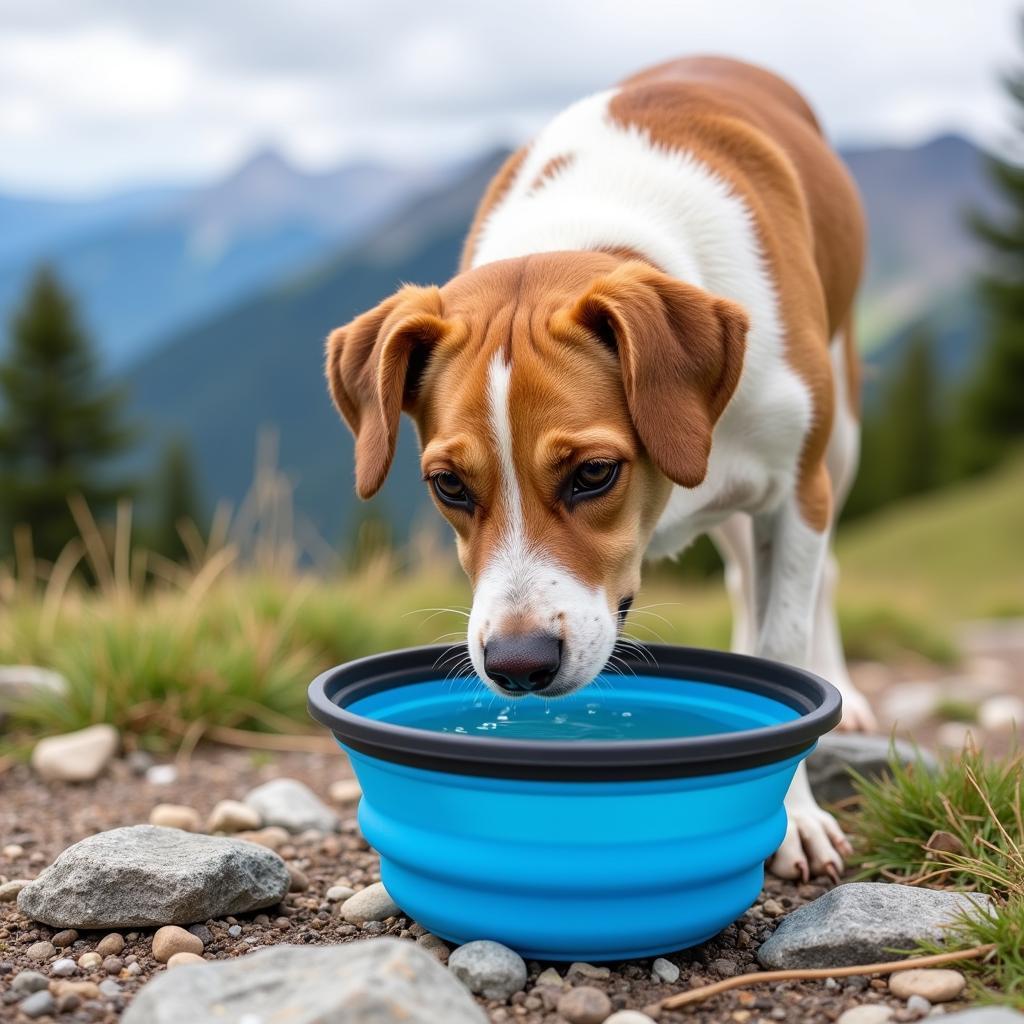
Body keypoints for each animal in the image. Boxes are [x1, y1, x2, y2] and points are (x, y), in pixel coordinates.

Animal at [323, 56, 876, 880]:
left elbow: (785, 645)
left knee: (824, 576)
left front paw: (797, 815)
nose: (518, 664)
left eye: (592, 474)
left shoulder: (794, 488)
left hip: (838, 436)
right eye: (449, 485)